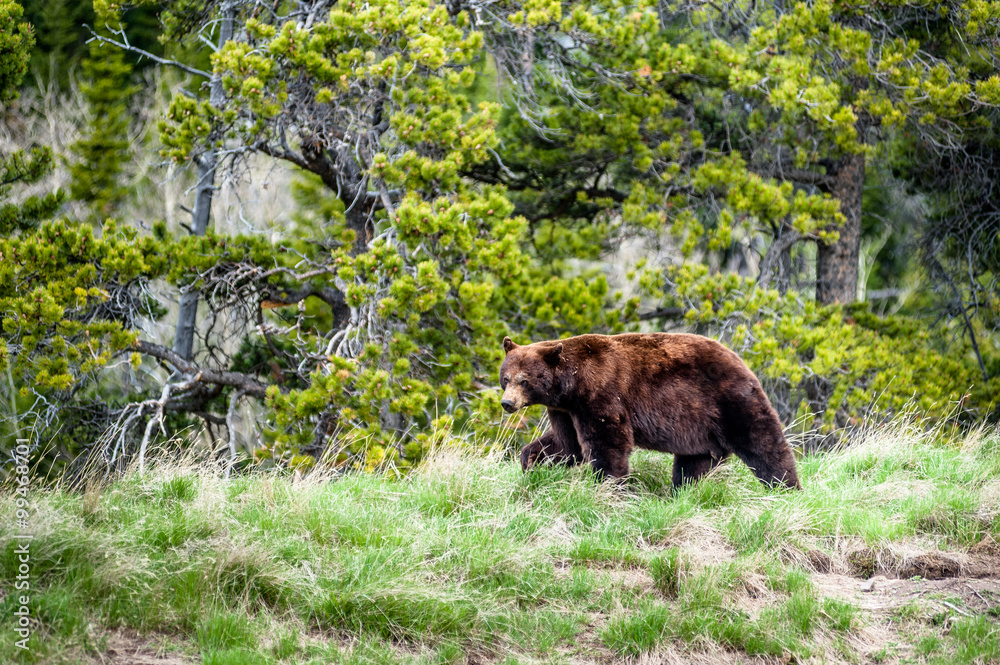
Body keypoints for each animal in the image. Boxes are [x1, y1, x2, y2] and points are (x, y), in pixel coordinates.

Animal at [499, 333, 800, 489]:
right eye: (505, 378)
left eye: (524, 380)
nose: (507, 403)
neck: (572, 384)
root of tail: (742, 362)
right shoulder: (564, 409)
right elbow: (567, 444)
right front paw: (530, 461)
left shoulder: (601, 393)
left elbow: (608, 442)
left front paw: (608, 484)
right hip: (698, 427)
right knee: (694, 463)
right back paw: (683, 492)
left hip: (729, 400)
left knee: (763, 442)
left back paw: (786, 486)